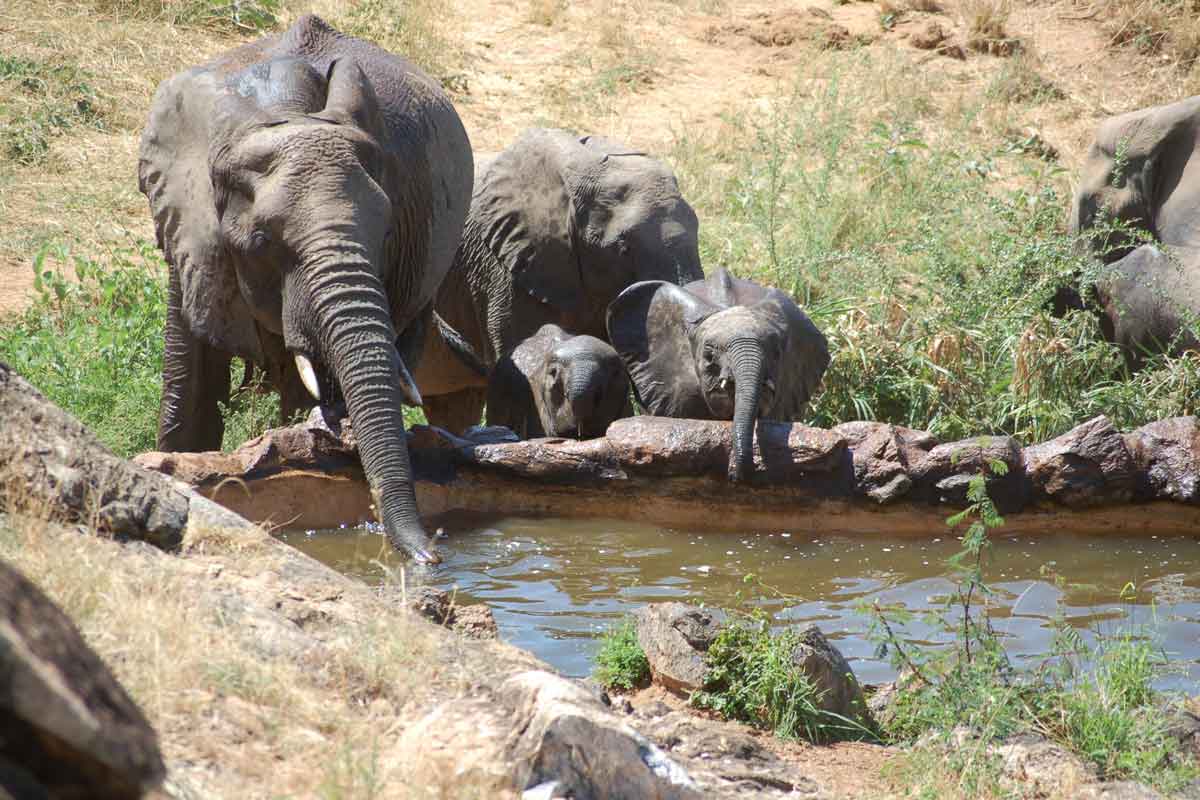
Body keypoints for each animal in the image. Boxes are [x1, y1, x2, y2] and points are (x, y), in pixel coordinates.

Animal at [138, 14, 470, 563]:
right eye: (261, 242)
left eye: (387, 233)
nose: (433, 555)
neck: (283, 108)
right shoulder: (190, 230)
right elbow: (192, 383)